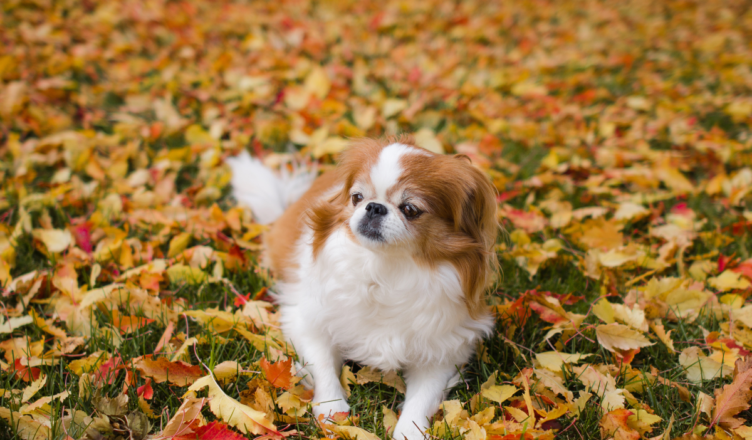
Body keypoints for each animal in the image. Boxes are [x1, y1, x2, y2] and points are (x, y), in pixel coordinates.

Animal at [229, 136, 500, 438]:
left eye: (410, 209)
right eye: (357, 198)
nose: (374, 207)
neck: (385, 268)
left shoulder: (442, 351)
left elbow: (421, 400)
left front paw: (410, 432)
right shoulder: (307, 320)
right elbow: (322, 365)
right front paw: (331, 410)